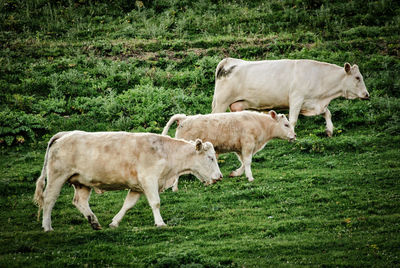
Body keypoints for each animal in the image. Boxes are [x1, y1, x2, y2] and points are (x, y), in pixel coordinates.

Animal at [33, 131, 222, 231]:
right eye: (211, 158)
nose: (219, 176)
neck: (166, 153)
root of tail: (64, 134)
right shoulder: (149, 180)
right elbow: (155, 203)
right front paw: (160, 223)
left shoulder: (137, 187)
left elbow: (128, 205)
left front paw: (115, 222)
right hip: (57, 176)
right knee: (49, 200)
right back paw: (47, 226)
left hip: (82, 182)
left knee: (79, 201)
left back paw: (94, 222)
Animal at [161, 110, 296, 187]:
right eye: (286, 124)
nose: (294, 135)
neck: (259, 124)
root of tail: (184, 118)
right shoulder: (248, 144)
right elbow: (248, 162)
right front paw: (250, 177)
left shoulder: (241, 149)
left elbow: (243, 162)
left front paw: (236, 173)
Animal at [211, 59, 370, 138]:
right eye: (357, 77)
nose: (367, 94)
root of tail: (227, 61)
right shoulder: (296, 98)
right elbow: (293, 119)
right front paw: (291, 135)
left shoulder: (312, 102)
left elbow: (327, 113)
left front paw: (329, 130)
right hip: (221, 101)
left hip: (237, 105)